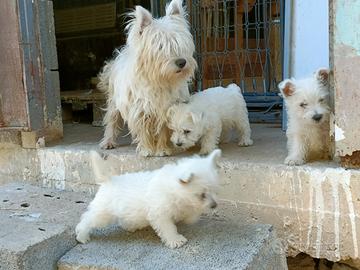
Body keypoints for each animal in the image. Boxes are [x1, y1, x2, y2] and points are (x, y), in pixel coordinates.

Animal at [75, 150, 221, 249]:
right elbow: (169, 228)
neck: (173, 188)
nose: (214, 205)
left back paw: (130, 227)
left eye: (214, 190)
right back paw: (82, 236)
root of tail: (109, 180)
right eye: (202, 194)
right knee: (87, 219)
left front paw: (190, 218)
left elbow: (189, 212)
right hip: (102, 213)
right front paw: (175, 240)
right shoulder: (160, 214)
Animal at [98, 0, 197, 156]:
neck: (160, 80)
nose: (182, 62)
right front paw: (147, 150)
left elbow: (163, 129)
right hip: (114, 101)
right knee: (112, 120)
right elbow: (143, 129)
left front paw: (162, 149)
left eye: (180, 44)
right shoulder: (139, 108)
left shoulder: (168, 108)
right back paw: (108, 141)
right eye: (161, 46)